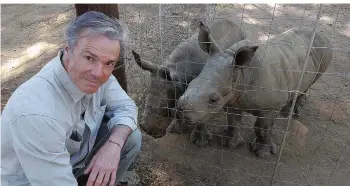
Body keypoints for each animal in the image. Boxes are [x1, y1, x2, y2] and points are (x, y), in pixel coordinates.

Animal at [178, 27, 334, 158]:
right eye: (189, 84)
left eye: (213, 100)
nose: (180, 110)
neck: (241, 74)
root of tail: (322, 32)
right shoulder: (233, 96)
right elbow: (233, 121)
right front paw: (228, 143)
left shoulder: (270, 106)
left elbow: (262, 128)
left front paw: (262, 153)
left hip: (326, 50)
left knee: (311, 82)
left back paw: (292, 113)